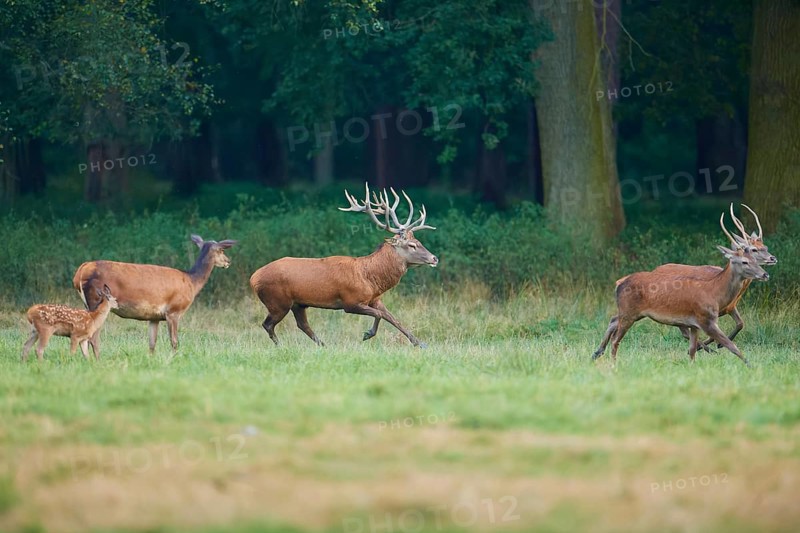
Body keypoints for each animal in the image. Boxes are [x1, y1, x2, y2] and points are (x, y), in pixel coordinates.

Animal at [72, 235, 236, 356]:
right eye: (221, 251)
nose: (228, 261)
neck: (191, 282)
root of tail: (81, 271)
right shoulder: (173, 311)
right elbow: (174, 342)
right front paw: (173, 359)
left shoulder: (154, 317)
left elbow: (152, 343)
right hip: (97, 300)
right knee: (93, 337)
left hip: (87, 304)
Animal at [250, 183, 438, 347]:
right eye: (412, 245)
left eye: (419, 241)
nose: (434, 258)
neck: (370, 279)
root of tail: (253, 278)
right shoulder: (350, 301)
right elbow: (380, 315)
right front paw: (367, 334)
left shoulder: (375, 299)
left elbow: (393, 318)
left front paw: (421, 343)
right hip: (278, 301)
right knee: (268, 324)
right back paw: (281, 346)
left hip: (297, 303)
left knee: (302, 325)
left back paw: (323, 345)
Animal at [592, 213, 770, 366]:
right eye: (745, 261)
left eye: (755, 259)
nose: (765, 274)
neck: (715, 294)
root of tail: (619, 282)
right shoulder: (706, 319)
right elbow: (731, 345)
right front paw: (751, 366)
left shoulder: (695, 324)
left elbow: (692, 350)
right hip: (629, 312)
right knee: (616, 339)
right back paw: (613, 363)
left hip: (634, 313)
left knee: (613, 321)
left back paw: (597, 353)